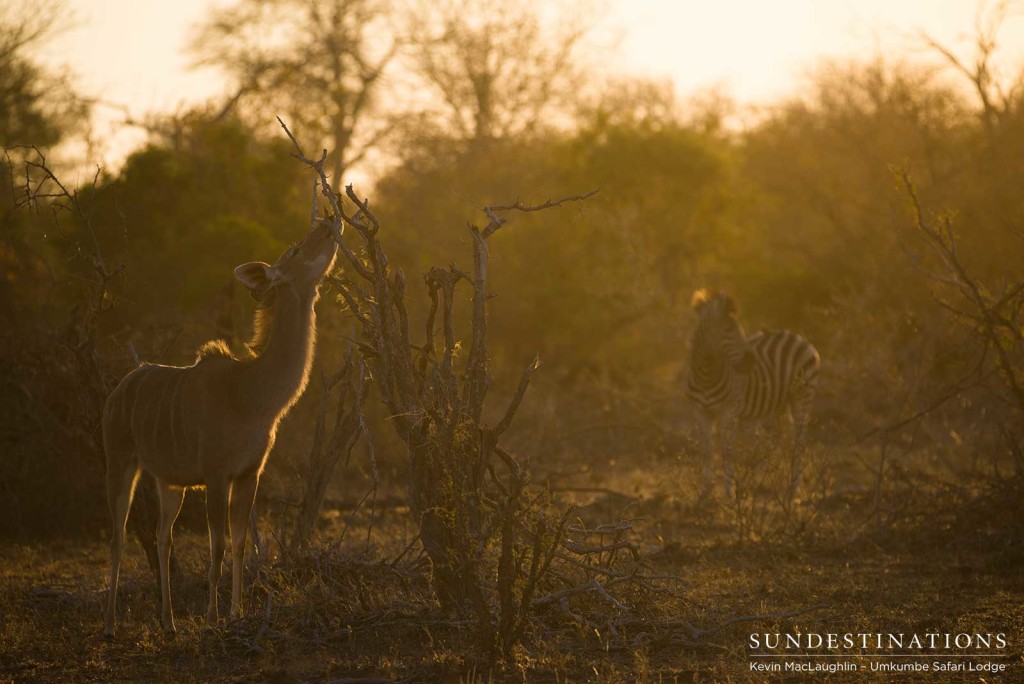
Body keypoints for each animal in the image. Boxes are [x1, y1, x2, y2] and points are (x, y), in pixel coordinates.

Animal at [684, 290, 819, 501]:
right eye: (728, 331)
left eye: (740, 330)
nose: (751, 360)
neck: (706, 375)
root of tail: (796, 336)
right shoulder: (700, 412)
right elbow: (706, 450)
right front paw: (705, 492)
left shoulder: (728, 412)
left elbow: (728, 451)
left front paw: (729, 493)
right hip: (780, 404)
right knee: (786, 438)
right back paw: (780, 481)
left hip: (803, 397)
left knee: (799, 441)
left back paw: (793, 490)